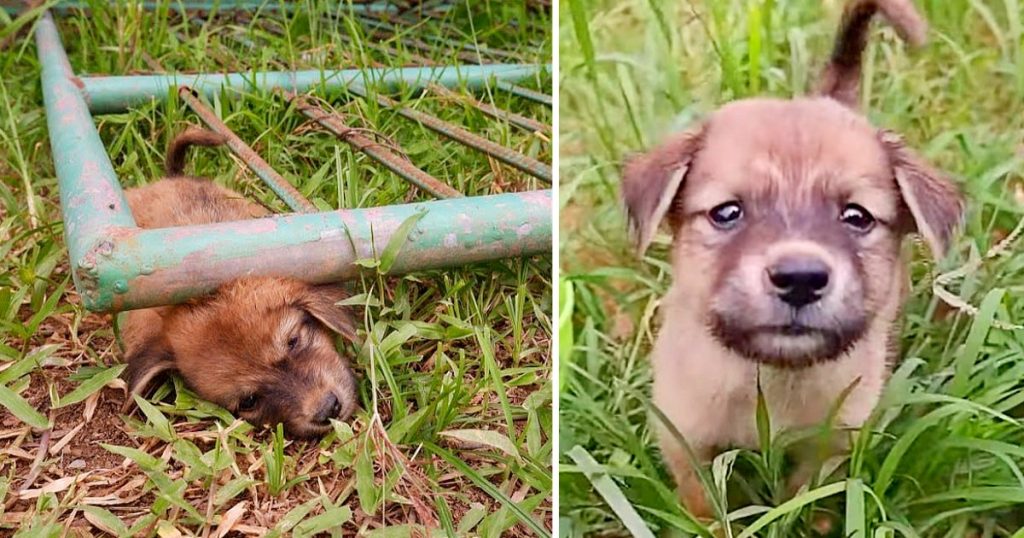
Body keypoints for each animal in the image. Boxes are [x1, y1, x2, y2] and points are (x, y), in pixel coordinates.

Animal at [618, 1, 962, 520]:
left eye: (857, 216)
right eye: (727, 212)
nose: (800, 279)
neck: (771, 376)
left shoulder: (833, 444)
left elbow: (802, 497)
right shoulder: (684, 438)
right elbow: (705, 504)